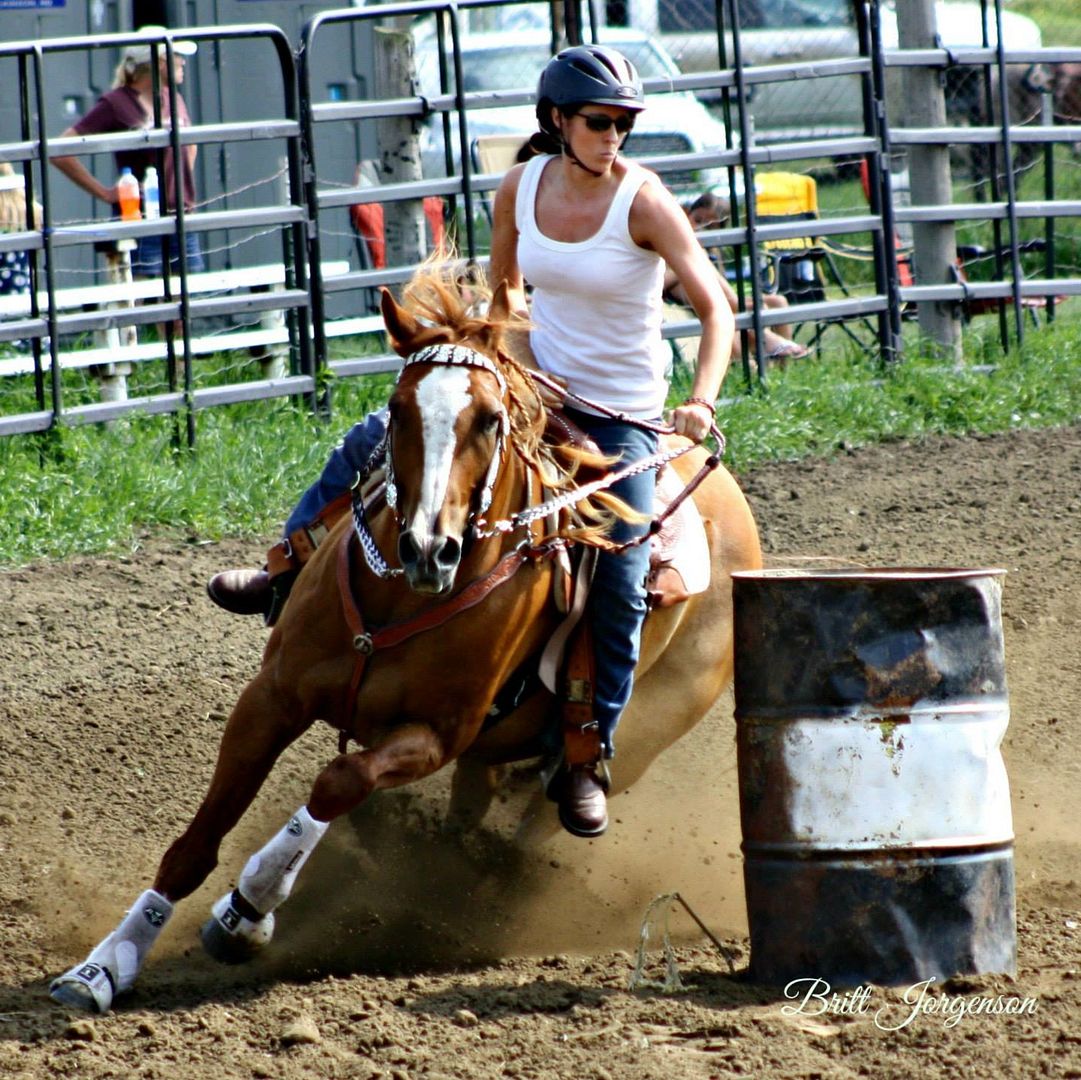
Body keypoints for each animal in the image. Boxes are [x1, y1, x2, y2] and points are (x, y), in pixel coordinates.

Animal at [49, 261, 762, 1014]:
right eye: (396, 409)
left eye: (491, 419)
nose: (427, 548)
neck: (398, 598)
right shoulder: (270, 699)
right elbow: (197, 840)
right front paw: (106, 965)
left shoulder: (434, 735)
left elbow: (339, 780)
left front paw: (246, 912)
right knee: (469, 814)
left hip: (640, 740)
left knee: (543, 817)